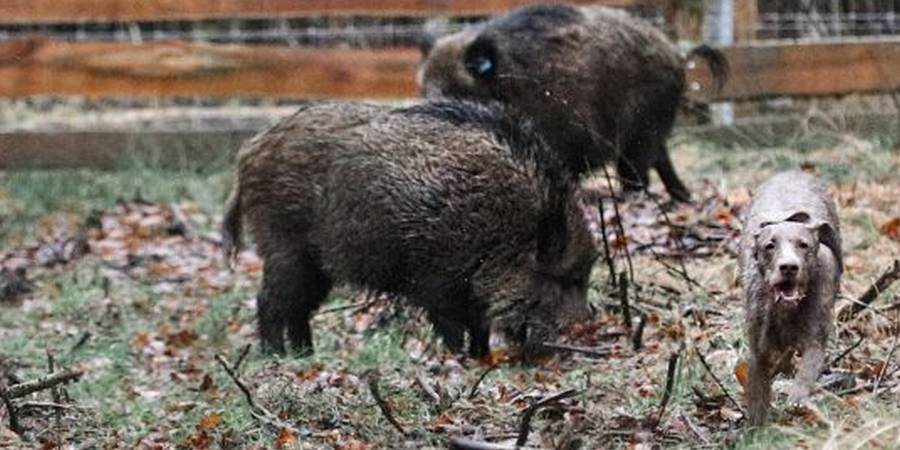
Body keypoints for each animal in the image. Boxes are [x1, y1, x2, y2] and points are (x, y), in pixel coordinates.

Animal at [740, 171, 840, 426]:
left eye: (804, 245)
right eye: (770, 246)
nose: (788, 267)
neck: (786, 312)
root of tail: (793, 171)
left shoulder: (815, 340)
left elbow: (805, 375)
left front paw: (796, 402)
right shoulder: (758, 351)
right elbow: (757, 399)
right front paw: (756, 430)